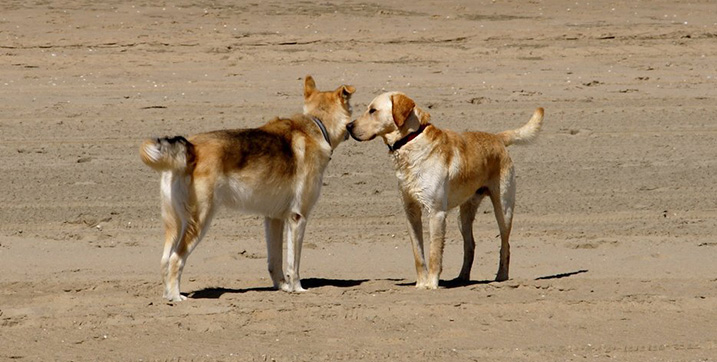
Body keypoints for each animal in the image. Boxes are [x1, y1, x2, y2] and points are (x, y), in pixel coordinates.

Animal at [140, 75, 356, 300]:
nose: (352, 128)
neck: (316, 124)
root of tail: (191, 148)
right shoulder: (298, 219)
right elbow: (293, 265)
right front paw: (297, 288)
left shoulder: (274, 219)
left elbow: (275, 262)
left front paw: (282, 287)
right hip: (199, 221)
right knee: (176, 258)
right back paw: (176, 297)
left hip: (174, 224)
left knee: (165, 260)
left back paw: (167, 295)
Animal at [346, 92, 544, 290]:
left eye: (373, 110)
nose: (348, 126)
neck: (411, 141)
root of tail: (497, 137)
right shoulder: (411, 212)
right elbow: (418, 254)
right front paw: (420, 283)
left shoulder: (436, 213)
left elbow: (434, 254)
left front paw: (432, 284)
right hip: (463, 217)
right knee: (470, 246)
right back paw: (462, 277)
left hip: (503, 209)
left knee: (505, 244)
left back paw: (501, 276)